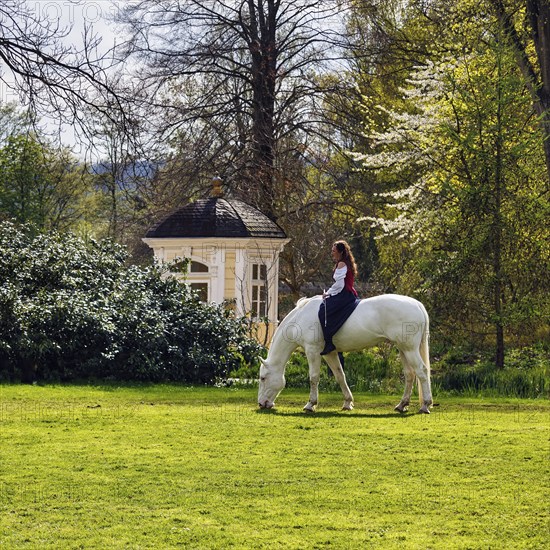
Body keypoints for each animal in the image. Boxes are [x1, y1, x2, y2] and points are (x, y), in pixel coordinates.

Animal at [260, 296, 436, 416]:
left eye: (262, 378)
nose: (261, 404)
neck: (301, 317)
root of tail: (417, 304)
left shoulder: (313, 351)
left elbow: (314, 378)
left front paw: (311, 404)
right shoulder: (329, 353)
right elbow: (340, 376)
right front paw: (347, 402)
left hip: (410, 349)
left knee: (422, 372)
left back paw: (425, 405)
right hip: (403, 349)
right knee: (410, 374)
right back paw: (402, 404)